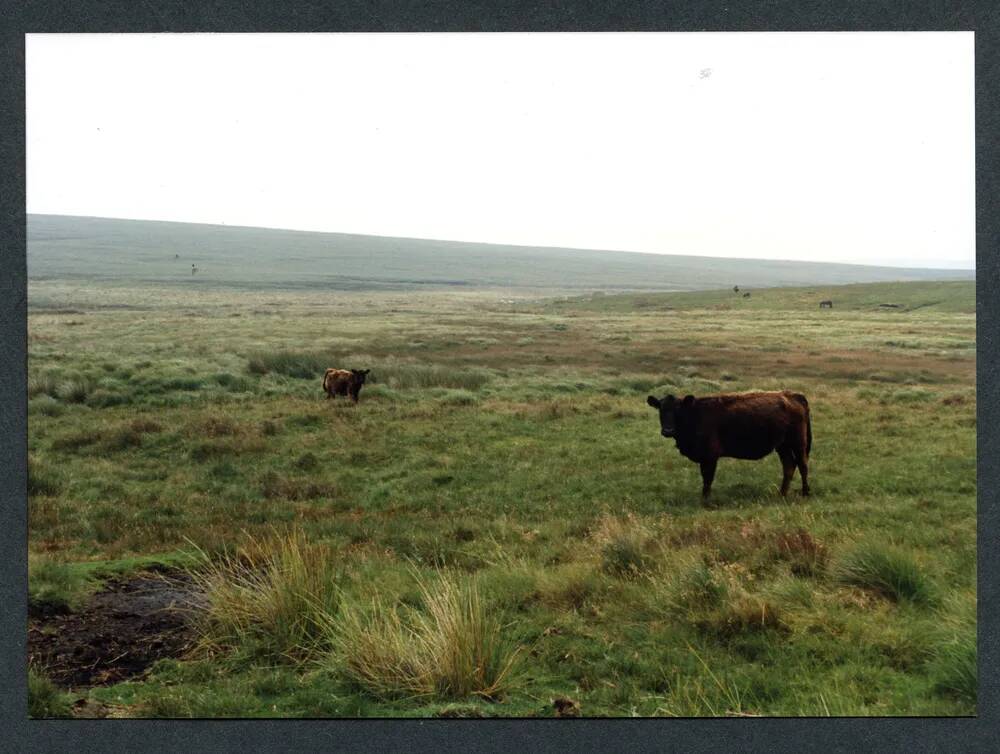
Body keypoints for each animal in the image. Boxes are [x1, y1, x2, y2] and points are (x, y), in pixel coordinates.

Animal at [648, 388, 812, 500]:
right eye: (660, 409)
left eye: (678, 410)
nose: (668, 430)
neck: (694, 413)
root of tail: (794, 395)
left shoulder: (710, 457)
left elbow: (707, 479)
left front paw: (705, 500)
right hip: (782, 446)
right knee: (789, 466)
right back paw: (781, 494)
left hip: (798, 443)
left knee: (802, 466)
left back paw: (805, 493)